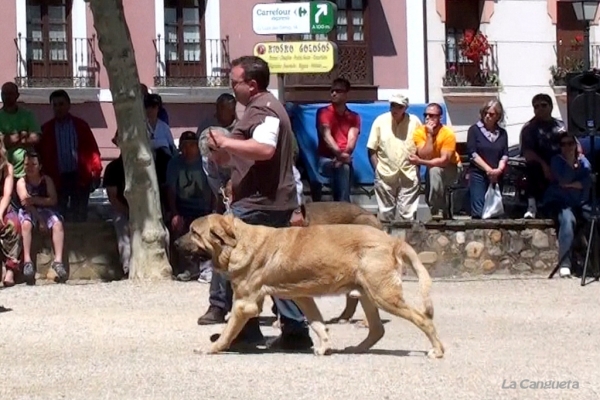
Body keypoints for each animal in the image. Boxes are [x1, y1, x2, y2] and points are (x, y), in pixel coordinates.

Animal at [182, 214, 446, 358]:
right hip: (367, 295)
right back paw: (357, 349)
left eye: (193, 232)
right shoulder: (302, 297)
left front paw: (212, 348)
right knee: (377, 329)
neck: (236, 243)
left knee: (423, 319)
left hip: (383, 295)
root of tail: (392, 240)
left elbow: (227, 332)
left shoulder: (245, 305)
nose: (175, 242)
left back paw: (437, 350)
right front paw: (325, 347)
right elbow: (319, 324)